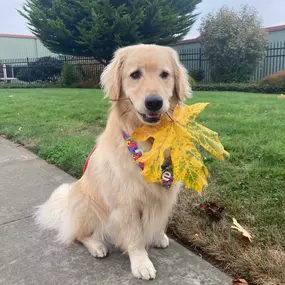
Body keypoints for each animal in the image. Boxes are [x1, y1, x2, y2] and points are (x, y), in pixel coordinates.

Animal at [35, 43, 191, 278]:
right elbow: (135, 236)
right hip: (86, 203)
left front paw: (157, 237)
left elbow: (159, 219)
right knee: (79, 235)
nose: (154, 102)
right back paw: (97, 245)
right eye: (135, 74)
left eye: (165, 74)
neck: (149, 139)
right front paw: (141, 263)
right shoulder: (126, 201)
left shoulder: (164, 194)